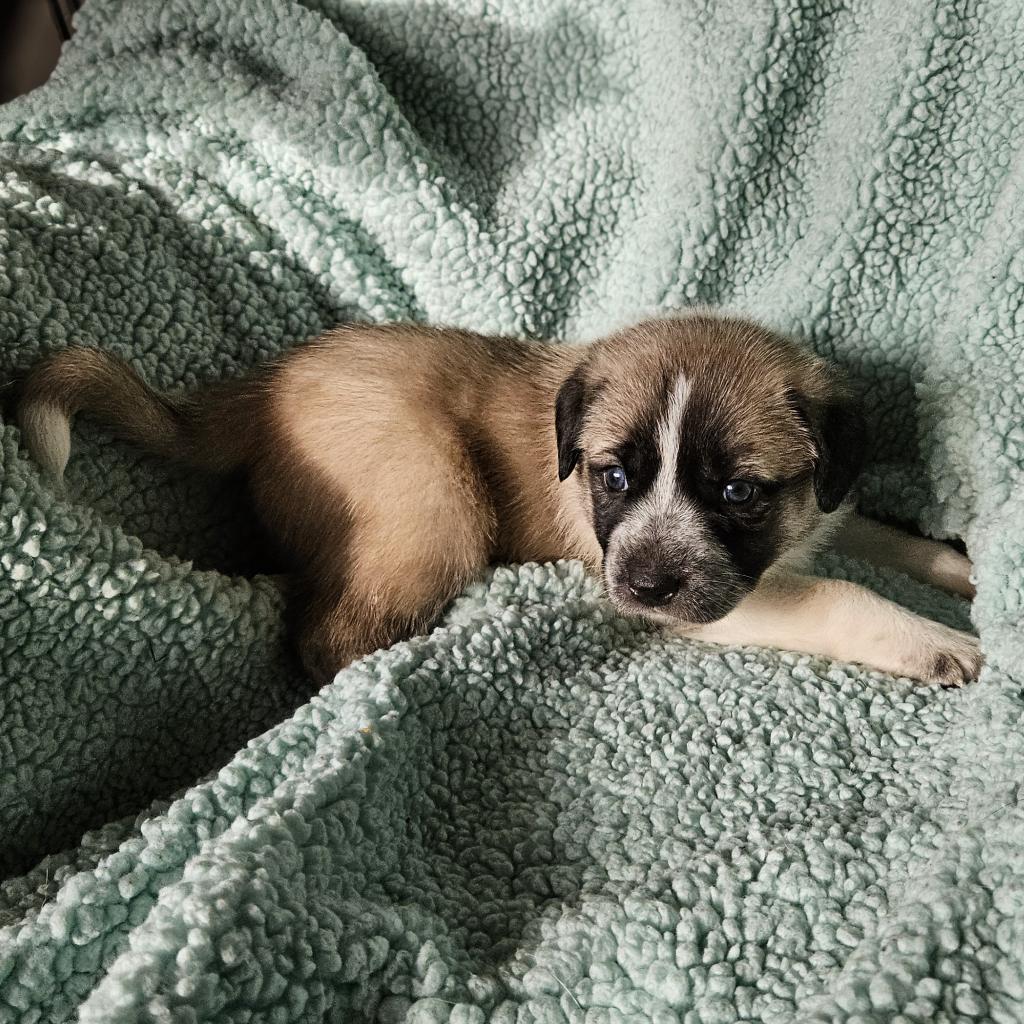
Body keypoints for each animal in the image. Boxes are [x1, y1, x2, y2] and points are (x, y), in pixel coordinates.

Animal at [14, 311, 974, 679]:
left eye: (740, 492)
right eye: (612, 477)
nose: (641, 586)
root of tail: (258, 392)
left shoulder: (822, 511)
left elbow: (880, 537)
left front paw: (961, 570)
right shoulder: (717, 600)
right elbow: (837, 594)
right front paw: (937, 642)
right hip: (437, 500)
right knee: (328, 636)